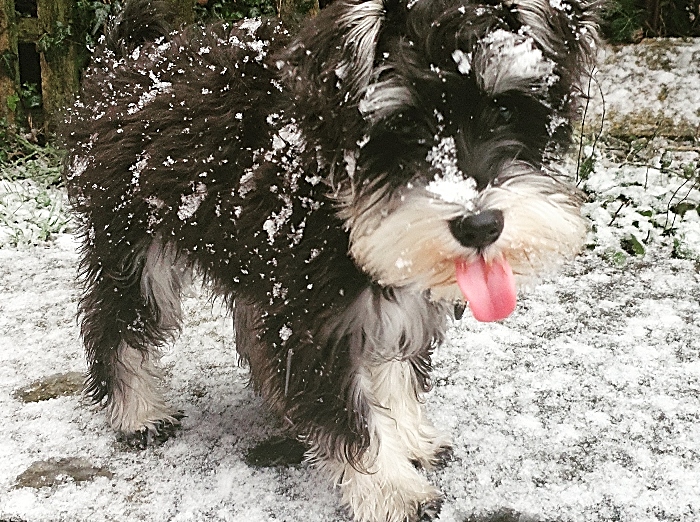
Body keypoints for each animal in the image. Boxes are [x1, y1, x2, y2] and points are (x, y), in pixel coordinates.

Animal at [60, 0, 600, 516]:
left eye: (506, 109)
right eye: (404, 123)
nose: (480, 225)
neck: (335, 187)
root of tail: (124, 59)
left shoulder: (389, 292)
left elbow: (394, 373)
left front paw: (412, 439)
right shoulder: (317, 322)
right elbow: (351, 410)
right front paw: (392, 490)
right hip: (136, 249)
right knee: (114, 324)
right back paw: (138, 413)